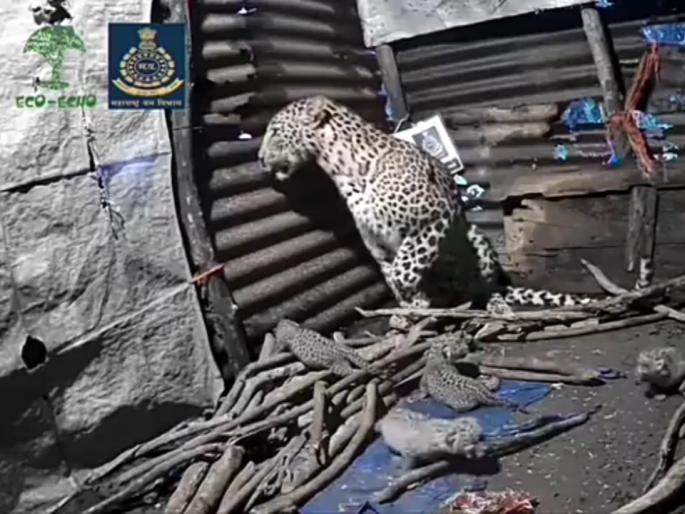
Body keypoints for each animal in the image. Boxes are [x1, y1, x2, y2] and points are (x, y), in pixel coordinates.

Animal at [257, 95, 597, 311]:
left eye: (274, 131)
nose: (259, 158)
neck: (344, 170)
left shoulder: (431, 220)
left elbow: (404, 270)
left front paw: (414, 297)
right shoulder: (377, 243)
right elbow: (391, 272)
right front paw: (411, 305)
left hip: (476, 238)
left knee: (485, 286)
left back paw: (492, 304)